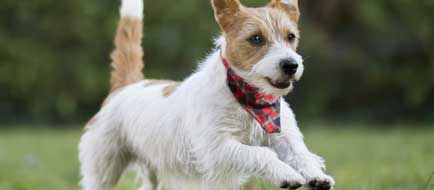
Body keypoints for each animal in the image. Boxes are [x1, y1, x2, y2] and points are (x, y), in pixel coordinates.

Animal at [79, 0, 336, 189]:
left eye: (291, 37)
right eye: (256, 38)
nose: (291, 65)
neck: (250, 100)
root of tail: (127, 85)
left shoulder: (284, 136)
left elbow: (301, 155)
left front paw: (316, 175)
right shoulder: (217, 148)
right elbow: (261, 154)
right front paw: (285, 173)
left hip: (154, 170)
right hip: (103, 167)